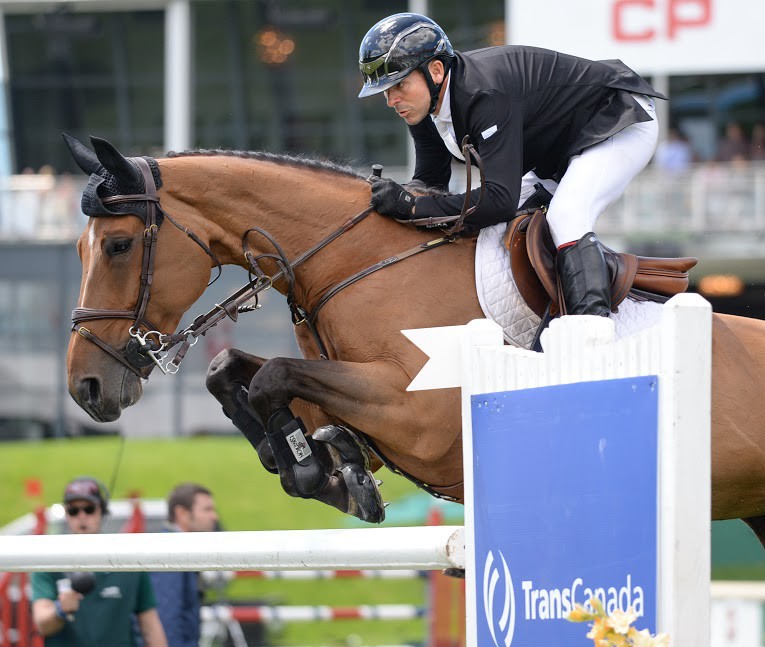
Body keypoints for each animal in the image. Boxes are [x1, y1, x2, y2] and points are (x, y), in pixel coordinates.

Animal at [62, 135, 760, 548]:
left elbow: (270, 376)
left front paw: (316, 468)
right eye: (79, 249)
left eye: (119, 245)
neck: (357, 262)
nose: (86, 387)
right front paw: (320, 464)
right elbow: (234, 371)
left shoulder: (418, 415)